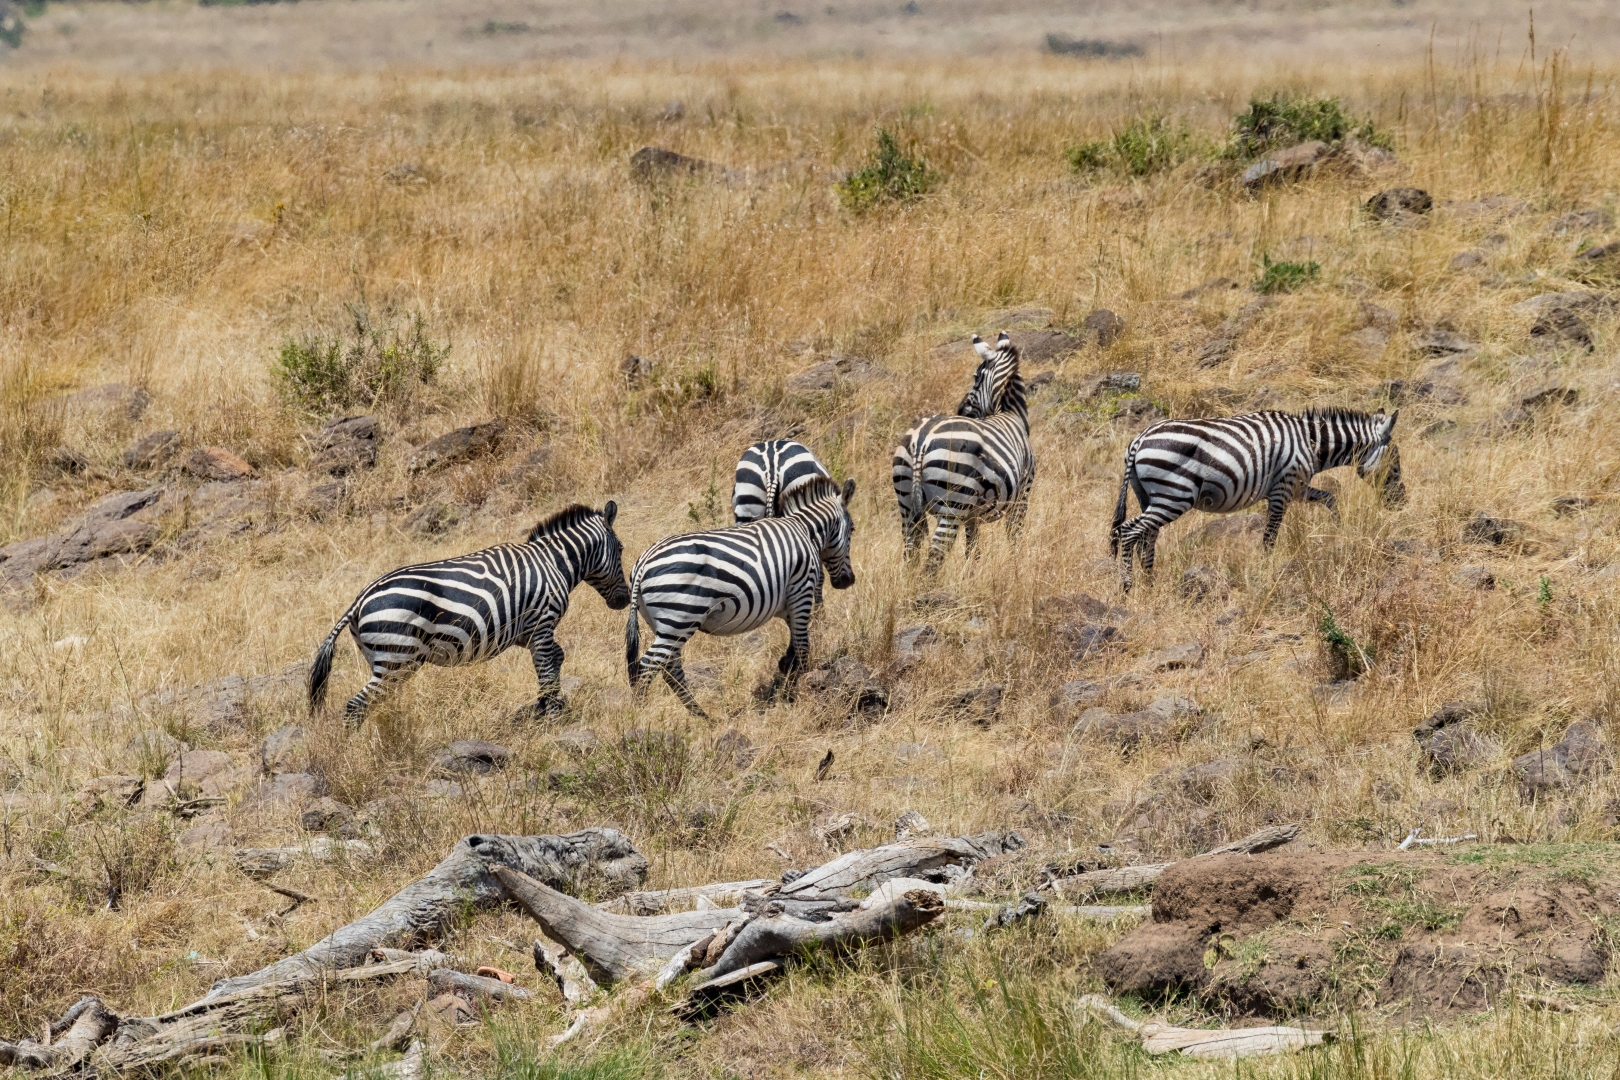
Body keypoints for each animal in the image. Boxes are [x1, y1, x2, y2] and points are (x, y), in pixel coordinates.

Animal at [309, 505, 631, 725]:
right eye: (621, 549)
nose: (624, 600)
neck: (553, 562)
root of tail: (359, 600)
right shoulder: (542, 622)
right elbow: (546, 666)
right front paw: (551, 715)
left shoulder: (524, 632)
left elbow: (557, 657)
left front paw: (545, 705)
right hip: (396, 658)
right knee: (355, 706)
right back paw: (354, 753)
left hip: (382, 659)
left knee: (371, 703)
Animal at [625, 476, 861, 718]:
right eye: (852, 529)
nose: (848, 581)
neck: (806, 531)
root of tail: (644, 561)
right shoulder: (801, 591)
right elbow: (803, 646)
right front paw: (797, 693)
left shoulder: (788, 604)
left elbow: (793, 646)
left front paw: (785, 674)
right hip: (680, 617)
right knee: (648, 666)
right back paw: (640, 715)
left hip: (662, 622)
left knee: (670, 668)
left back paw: (701, 716)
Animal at [894, 331, 1030, 573]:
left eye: (975, 378)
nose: (960, 409)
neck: (1010, 412)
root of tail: (921, 439)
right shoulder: (1023, 492)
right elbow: (1014, 535)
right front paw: (1017, 567)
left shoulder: (971, 514)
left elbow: (973, 549)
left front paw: (972, 576)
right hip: (952, 504)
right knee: (935, 555)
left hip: (906, 501)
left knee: (910, 551)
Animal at [1114, 408, 1406, 592]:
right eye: (1395, 460)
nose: (1401, 503)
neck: (1310, 444)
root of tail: (1139, 440)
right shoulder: (1283, 488)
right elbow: (1270, 536)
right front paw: (1266, 570)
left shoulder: (1298, 487)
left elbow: (1330, 498)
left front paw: (1338, 529)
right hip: (1174, 495)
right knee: (1129, 531)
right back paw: (1128, 585)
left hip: (1151, 496)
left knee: (1145, 536)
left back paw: (1149, 582)